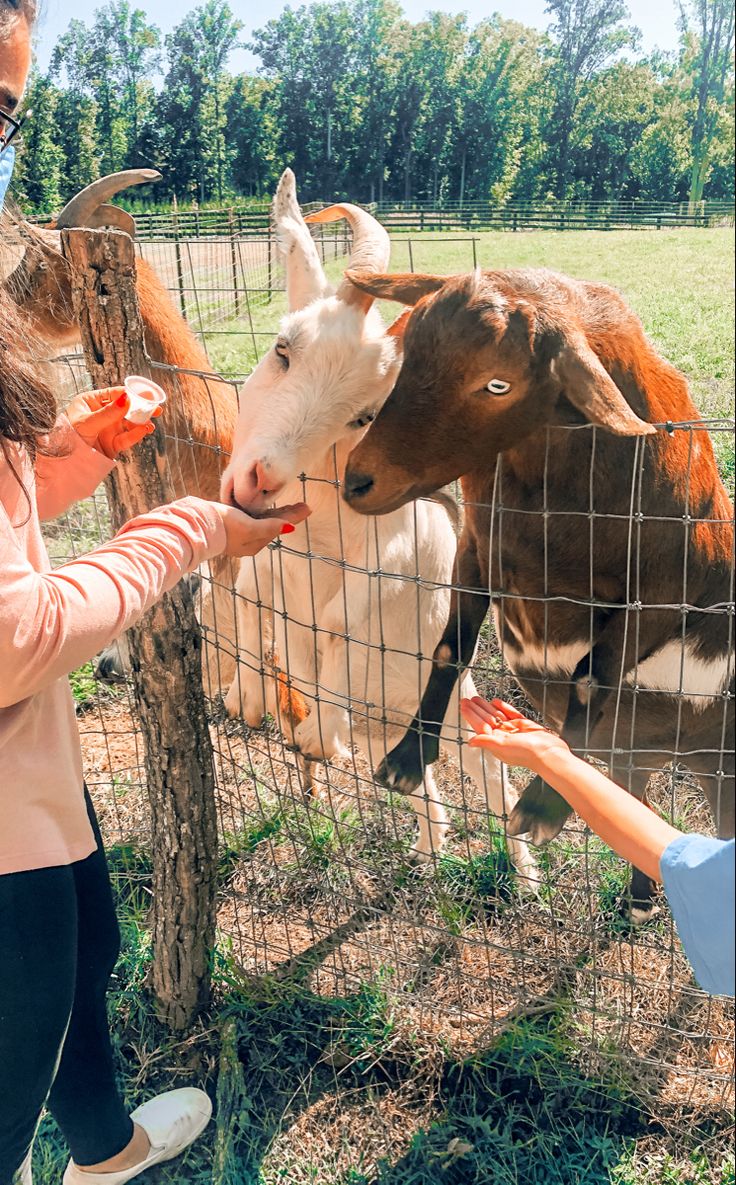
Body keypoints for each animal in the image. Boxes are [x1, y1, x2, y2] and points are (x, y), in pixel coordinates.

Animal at [218, 169, 533, 881]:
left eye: (362, 416)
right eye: (282, 349)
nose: (259, 480)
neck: (322, 531)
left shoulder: (396, 551)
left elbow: (341, 619)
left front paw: (317, 732)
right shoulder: (275, 551)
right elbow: (247, 589)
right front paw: (246, 696)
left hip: (451, 714)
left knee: (492, 778)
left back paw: (527, 874)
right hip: (393, 735)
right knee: (426, 786)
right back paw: (429, 850)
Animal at [341, 271, 730, 924]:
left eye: (498, 384)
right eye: (408, 354)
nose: (358, 482)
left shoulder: (665, 592)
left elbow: (589, 675)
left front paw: (543, 805)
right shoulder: (476, 545)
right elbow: (449, 649)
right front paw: (407, 757)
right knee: (635, 788)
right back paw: (640, 901)